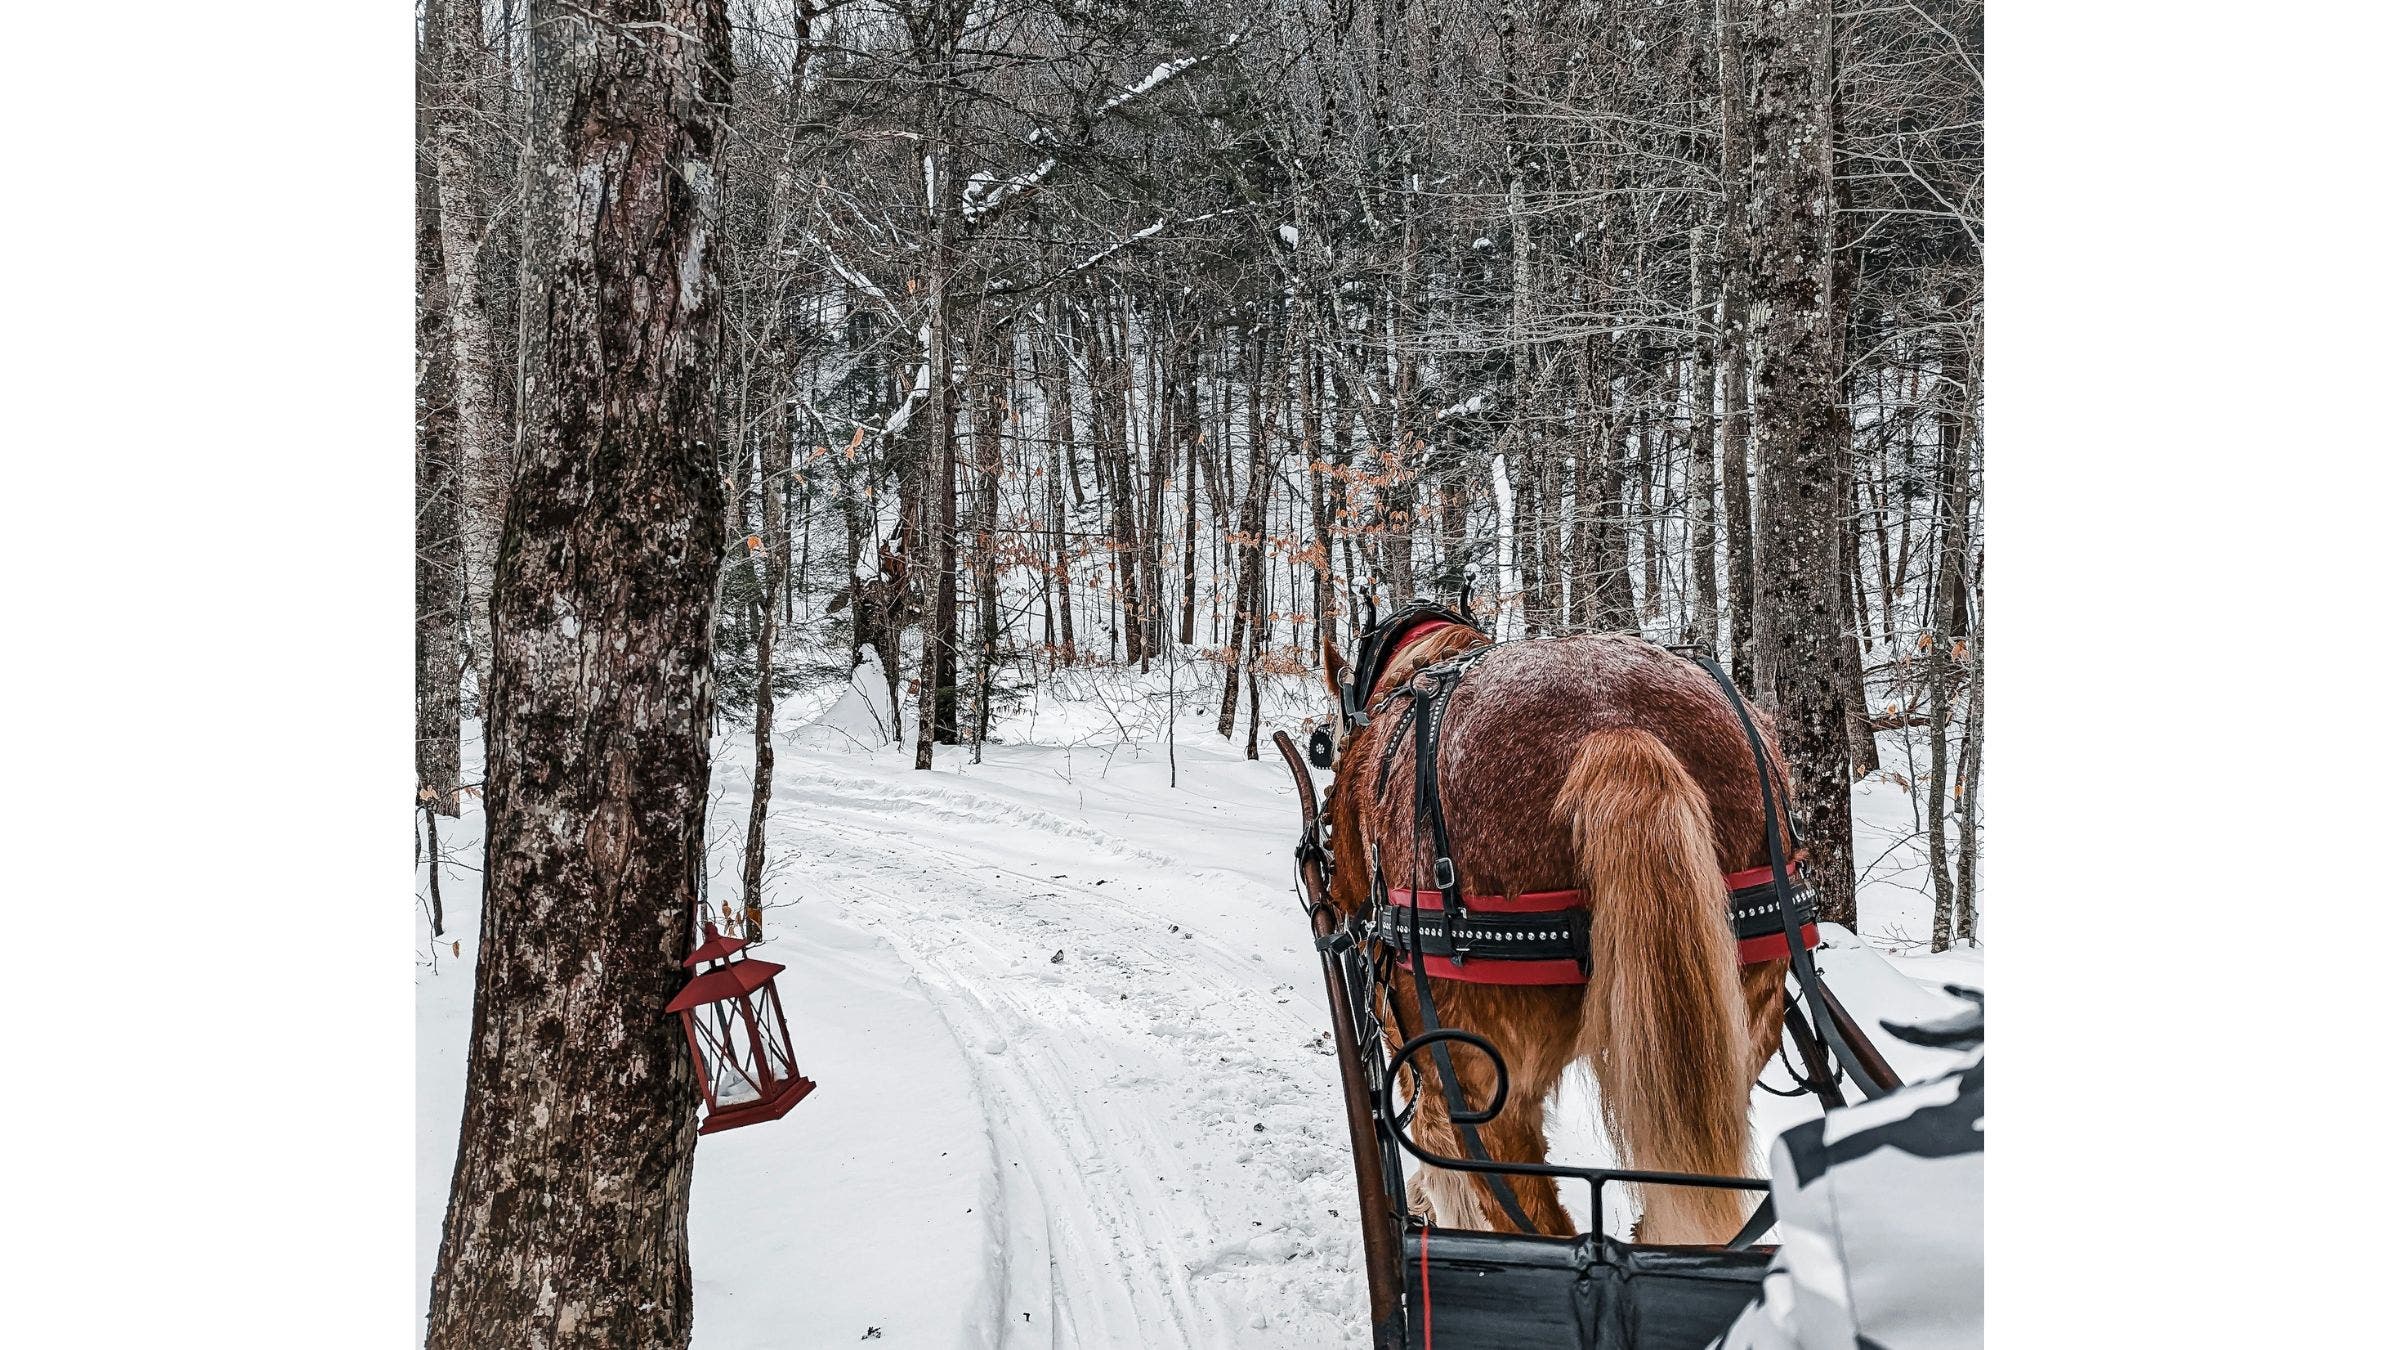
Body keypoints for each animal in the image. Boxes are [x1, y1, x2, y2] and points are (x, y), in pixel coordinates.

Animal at [1317, 609, 1797, 1245]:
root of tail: (1615, 732)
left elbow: (1439, 1165)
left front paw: (1426, 1202)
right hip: (1740, 1023)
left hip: (1480, 1083)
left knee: (1531, 1220)